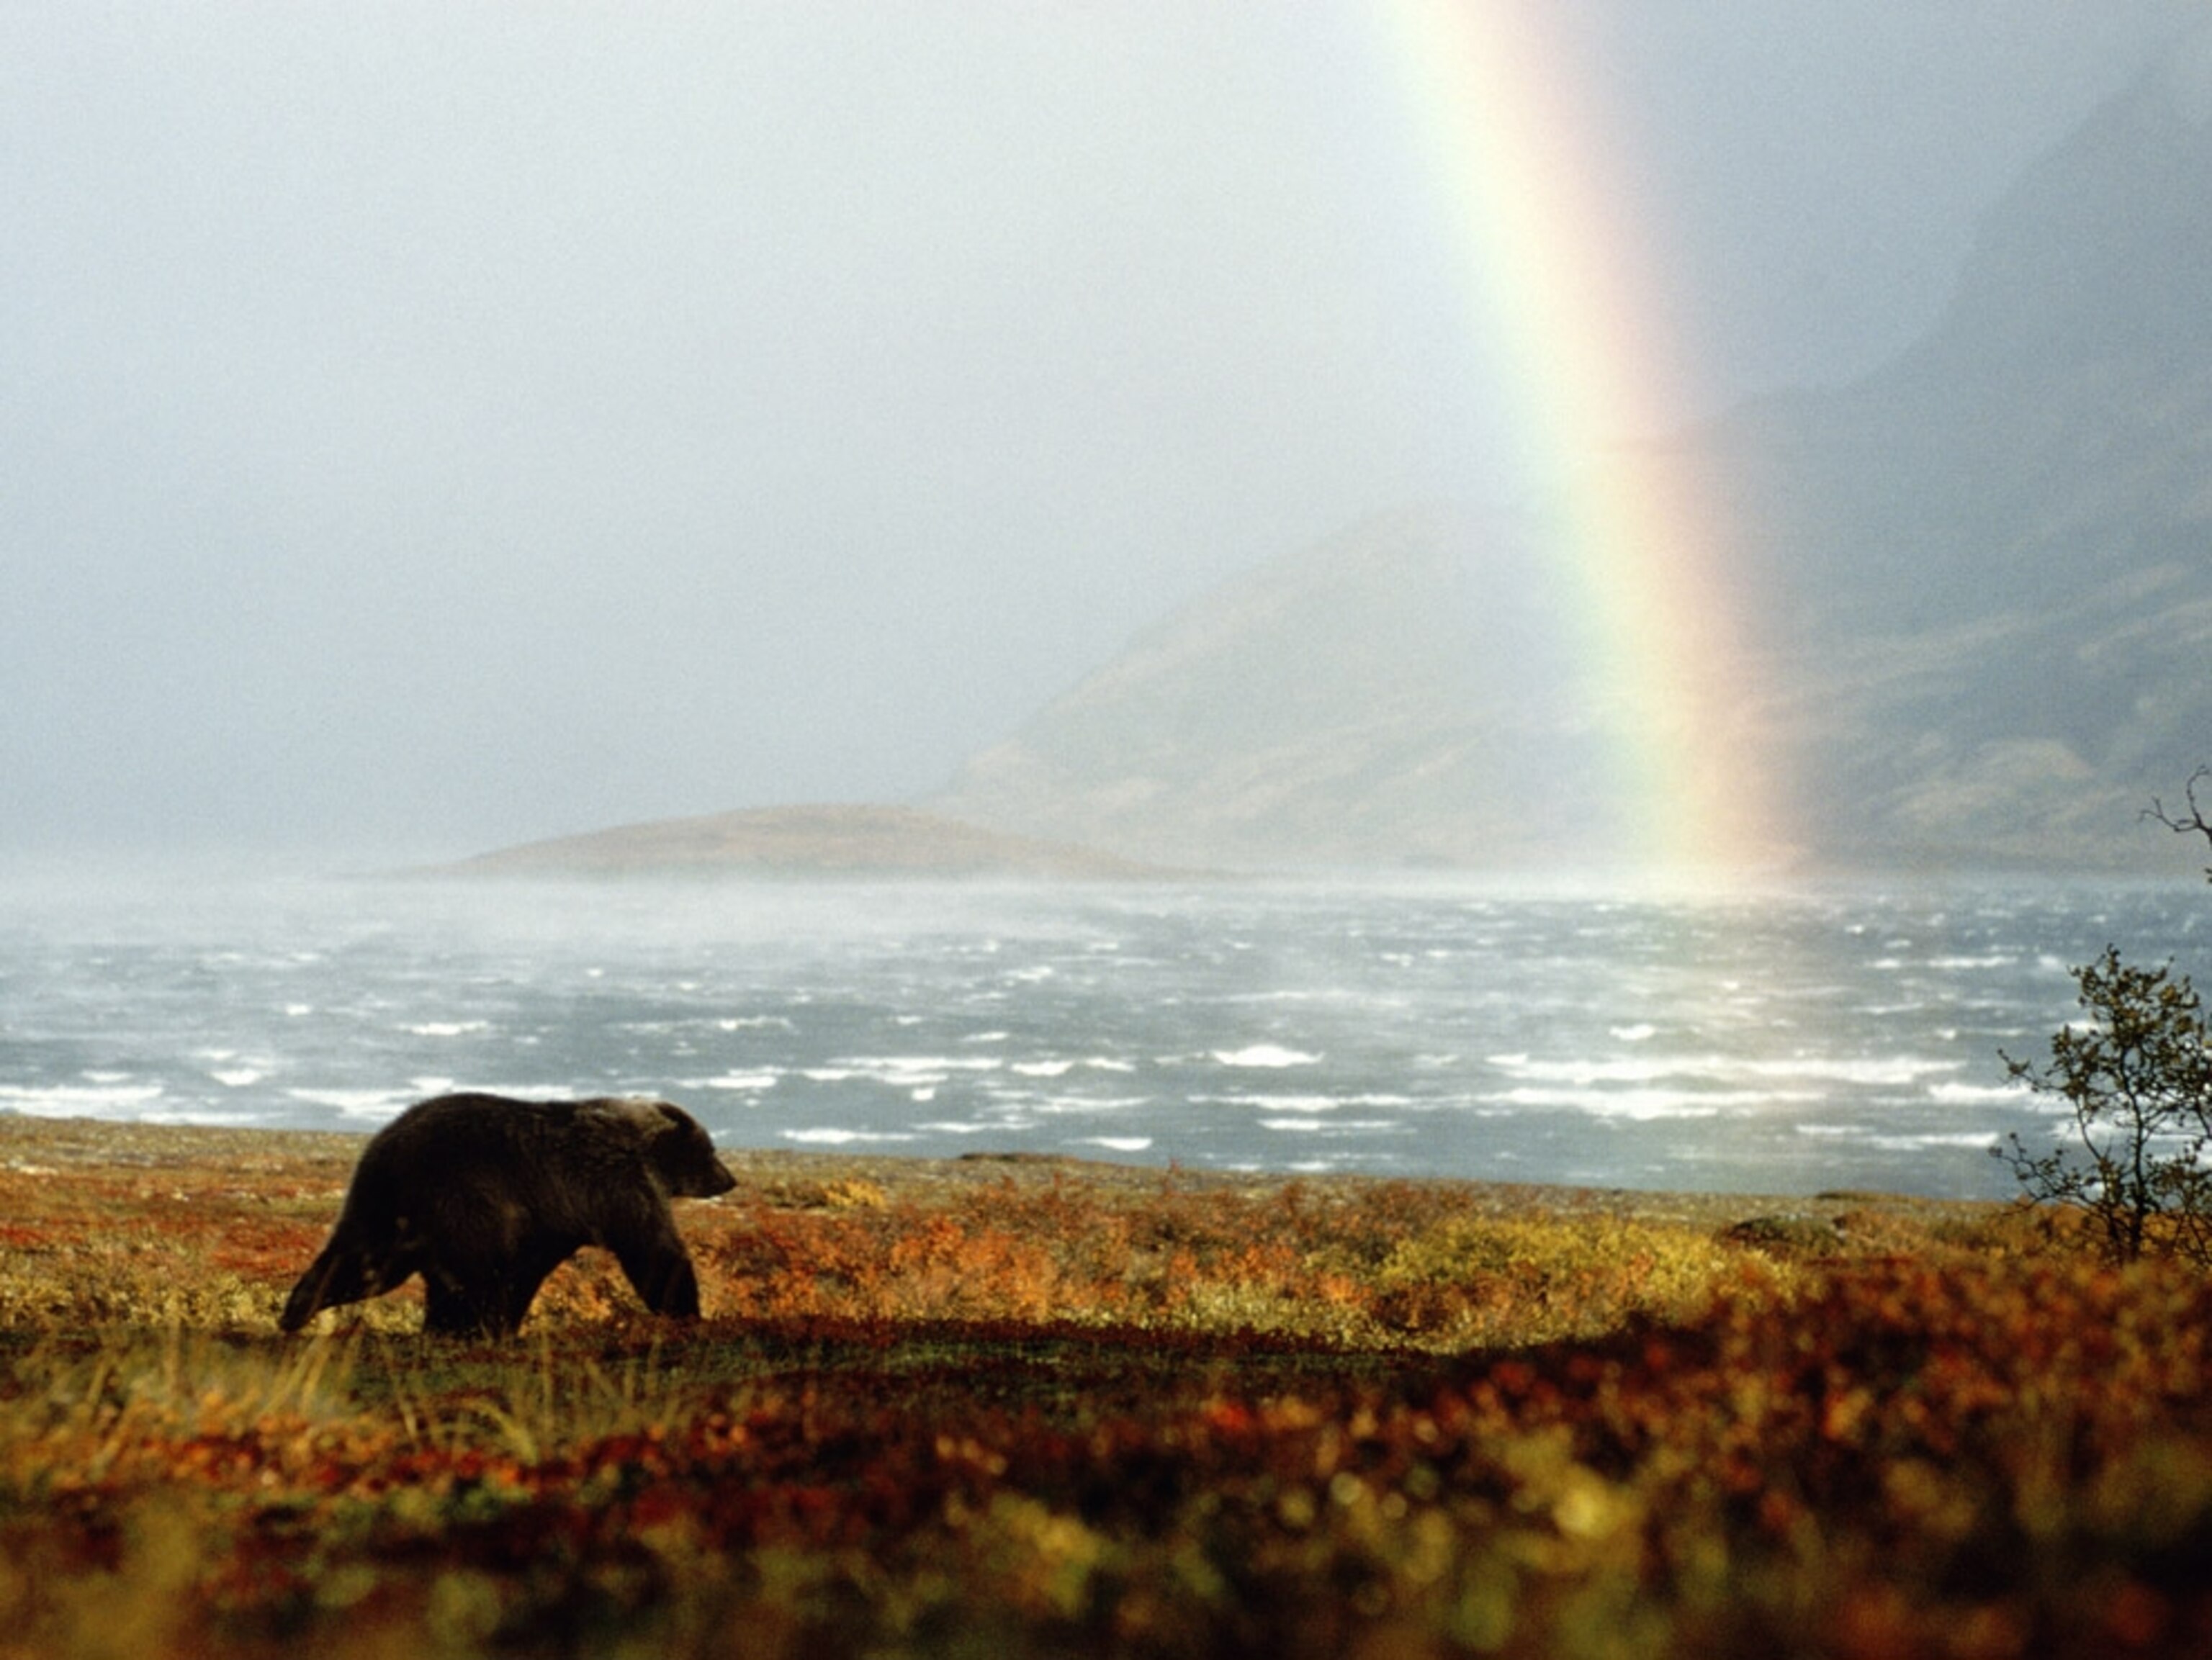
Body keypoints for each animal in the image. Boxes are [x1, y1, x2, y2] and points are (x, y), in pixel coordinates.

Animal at [280, 1092, 738, 1337]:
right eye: (711, 1149)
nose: (730, 1178)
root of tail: (390, 1146)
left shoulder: (551, 1221)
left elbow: (526, 1273)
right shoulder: (616, 1184)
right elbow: (654, 1251)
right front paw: (687, 1311)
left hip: (383, 1203)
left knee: (363, 1261)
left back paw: (297, 1308)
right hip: (462, 1194)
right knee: (467, 1274)